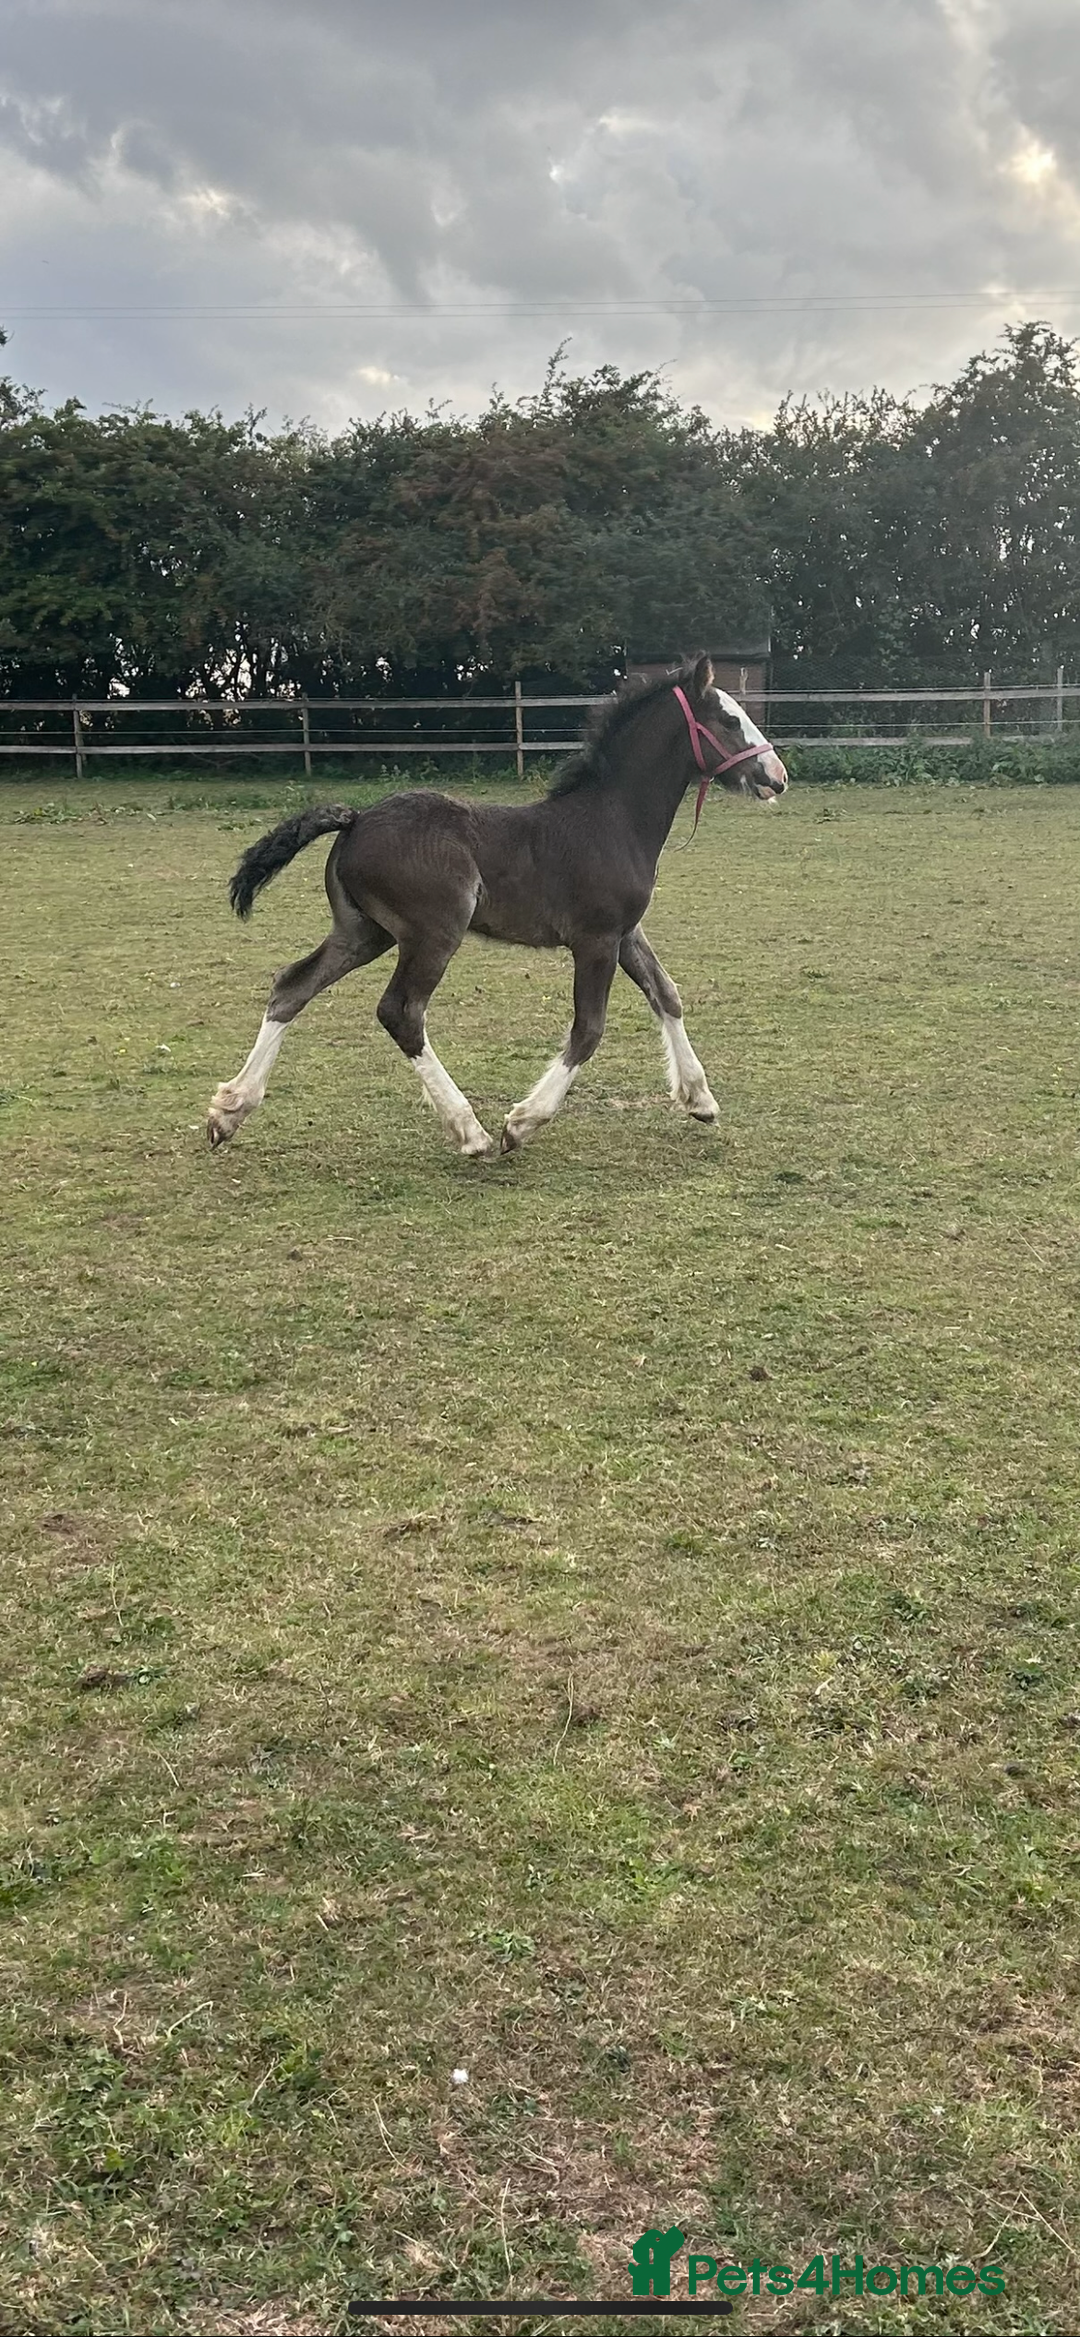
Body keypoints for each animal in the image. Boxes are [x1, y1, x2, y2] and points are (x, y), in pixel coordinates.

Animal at [206, 655, 788, 1161]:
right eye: (730, 720)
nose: (777, 776)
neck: (612, 819)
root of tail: (356, 819)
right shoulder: (596, 940)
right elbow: (589, 1030)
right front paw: (522, 1123)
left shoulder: (626, 932)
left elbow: (666, 994)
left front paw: (699, 1098)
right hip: (433, 933)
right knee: (401, 1012)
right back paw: (471, 1131)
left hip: (364, 932)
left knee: (293, 986)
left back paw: (230, 1109)